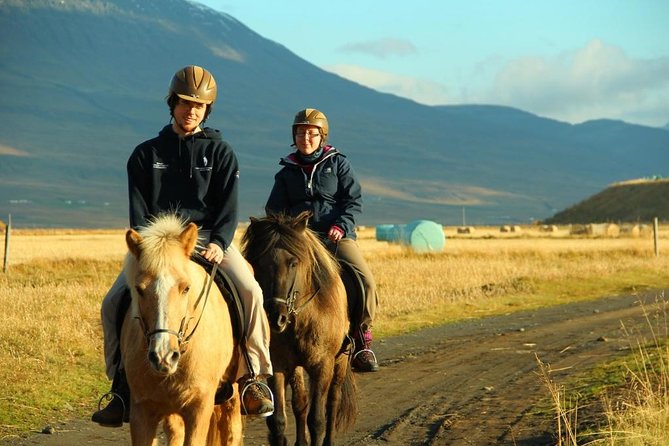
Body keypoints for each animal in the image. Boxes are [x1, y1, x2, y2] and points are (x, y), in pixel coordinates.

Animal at [120, 214, 243, 446]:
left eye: (186, 288)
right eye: (139, 289)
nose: (163, 356)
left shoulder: (199, 408)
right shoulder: (142, 411)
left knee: (231, 428)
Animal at [241, 211, 357, 446]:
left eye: (293, 263)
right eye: (258, 263)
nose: (275, 317)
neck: (302, 319)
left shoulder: (322, 365)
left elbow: (317, 420)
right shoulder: (278, 365)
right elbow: (278, 420)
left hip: (340, 360)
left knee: (333, 401)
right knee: (300, 403)